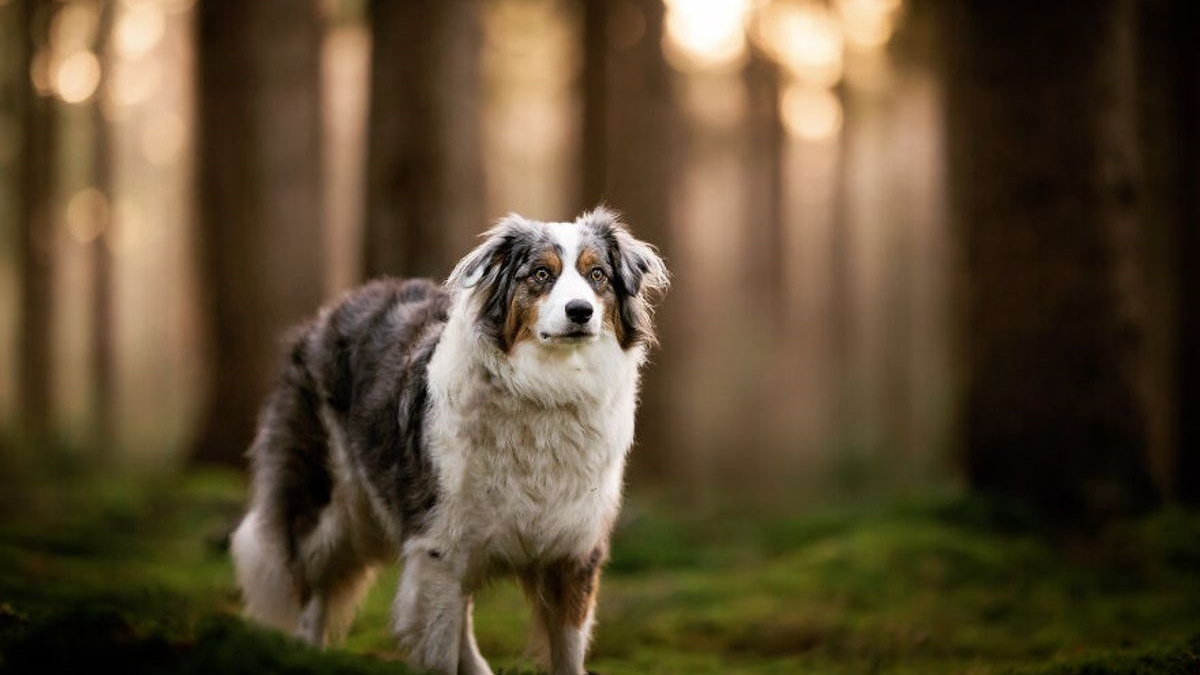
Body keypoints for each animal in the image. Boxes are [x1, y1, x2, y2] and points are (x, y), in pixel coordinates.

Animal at [229, 206, 672, 672]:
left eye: (597, 274)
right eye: (540, 274)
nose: (581, 311)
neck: (547, 388)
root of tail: (331, 310)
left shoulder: (574, 550)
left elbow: (567, 653)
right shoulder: (438, 546)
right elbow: (439, 647)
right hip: (332, 506)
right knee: (314, 582)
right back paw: (307, 652)